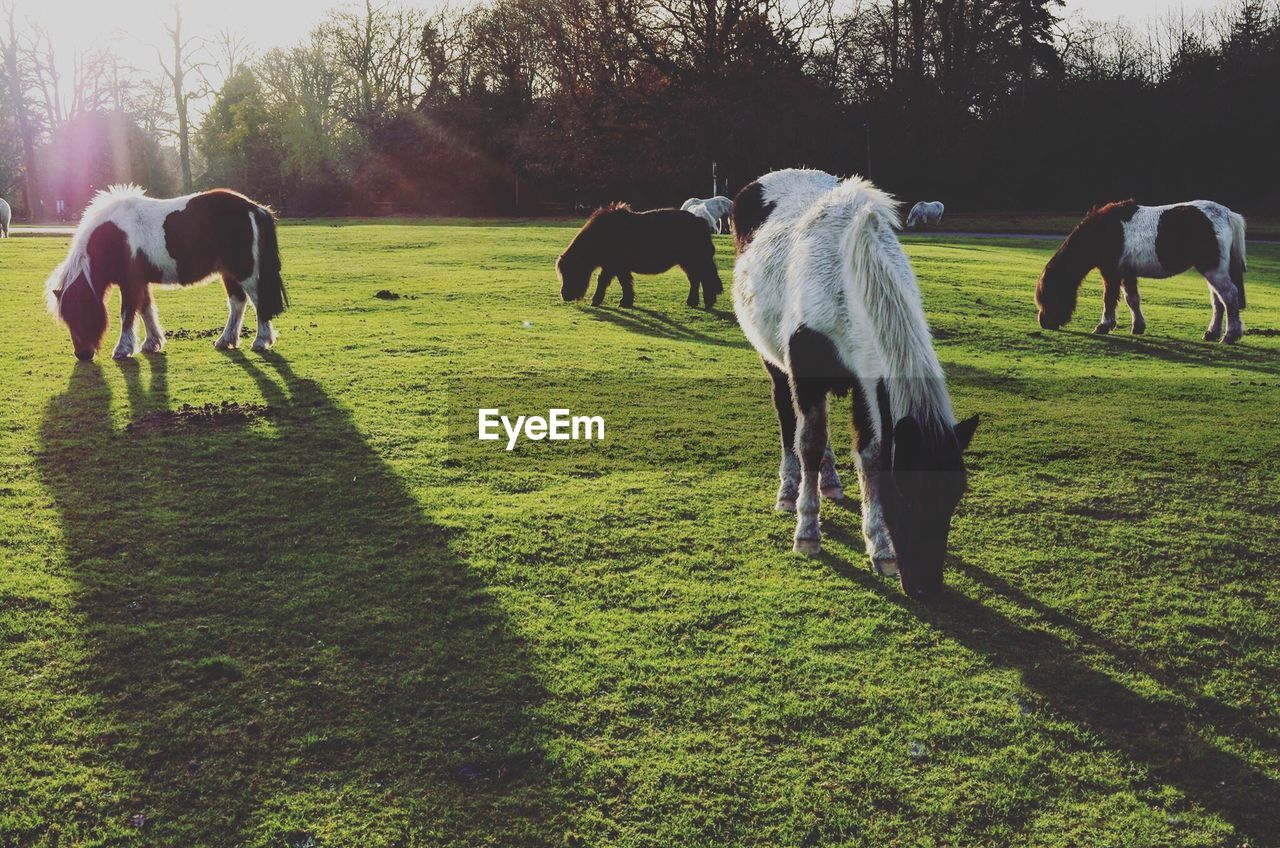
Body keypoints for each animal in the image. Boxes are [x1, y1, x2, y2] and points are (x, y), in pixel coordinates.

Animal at [45, 184, 288, 361]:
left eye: (81, 313)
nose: (82, 355)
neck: (114, 236)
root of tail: (254, 208)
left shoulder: (129, 283)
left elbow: (127, 314)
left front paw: (123, 349)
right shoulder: (140, 282)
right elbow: (145, 310)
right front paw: (151, 343)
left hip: (244, 271)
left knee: (258, 301)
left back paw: (261, 341)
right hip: (229, 273)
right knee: (237, 303)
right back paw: (226, 340)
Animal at [558, 204, 727, 311]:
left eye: (570, 272)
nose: (565, 296)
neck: (602, 235)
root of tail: (700, 222)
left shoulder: (613, 266)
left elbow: (605, 281)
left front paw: (598, 301)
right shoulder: (618, 267)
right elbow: (625, 283)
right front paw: (626, 301)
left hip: (694, 261)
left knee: (703, 279)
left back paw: (705, 302)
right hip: (689, 263)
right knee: (696, 280)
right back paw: (694, 302)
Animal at [732, 169, 977, 602]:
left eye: (954, 496)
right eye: (905, 494)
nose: (925, 589)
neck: (846, 273)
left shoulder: (867, 383)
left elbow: (869, 455)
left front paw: (880, 547)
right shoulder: (805, 373)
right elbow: (808, 443)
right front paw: (807, 531)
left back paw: (828, 481)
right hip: (775, 364)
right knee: (788, 419)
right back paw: (789, 488)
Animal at [1034, 199, 1244, 343]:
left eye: (1049, 294)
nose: (1044, 322)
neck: (1102, 231)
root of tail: (1227, 214)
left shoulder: (1111, 273)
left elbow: (1108, 299)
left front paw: (1104, 325)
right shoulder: (1127, 273)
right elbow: (1132, 299)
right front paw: (1138, 326)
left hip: (1213, 270)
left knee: (1228, 296)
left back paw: (1230, 335)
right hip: (1212, 271)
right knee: (1218, 301)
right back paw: (1212, 333)